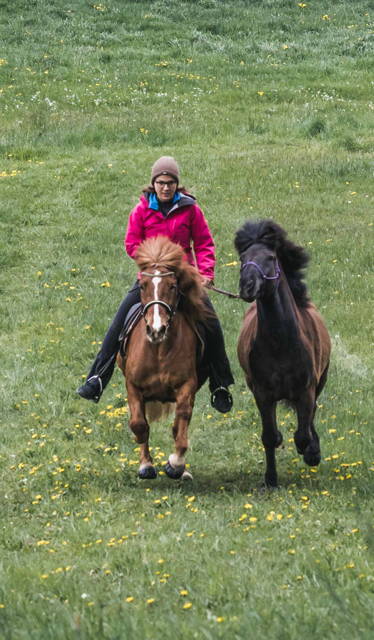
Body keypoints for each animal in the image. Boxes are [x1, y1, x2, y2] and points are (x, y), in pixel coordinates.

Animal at [117, 235, 209, 480]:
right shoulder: (133, 386)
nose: (156, 329)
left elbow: (180, 426)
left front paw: (175, 464)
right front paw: (146, 465)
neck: (159, 350)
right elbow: (139, 425)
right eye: (143, 286)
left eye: (173, 286)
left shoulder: (187, 386)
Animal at [237, 220, 330, 484]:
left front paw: (311, 453)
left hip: (320, 381)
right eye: (243, 258)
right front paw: (271, 479)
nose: (247, 286)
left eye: (270, 257)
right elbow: (269, 437)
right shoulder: (263, 394)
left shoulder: (306, 390)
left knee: (311, 415)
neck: (280, 343)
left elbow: (303, 434)